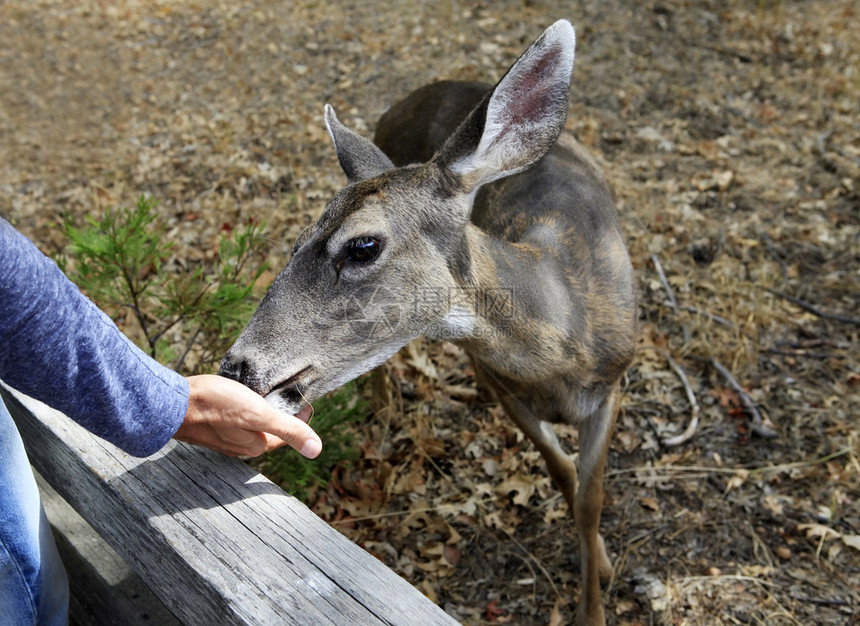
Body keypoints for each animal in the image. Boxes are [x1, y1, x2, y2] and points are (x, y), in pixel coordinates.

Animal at [220, 19, 640, 624]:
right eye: (295, 242)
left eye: (363, 245)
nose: (237, 366)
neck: (565, 328)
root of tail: (410, 98)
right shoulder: (493, 378)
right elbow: (562, 471)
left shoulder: (613, 383)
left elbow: (589, 496)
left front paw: (597, 584)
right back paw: (384, 403)